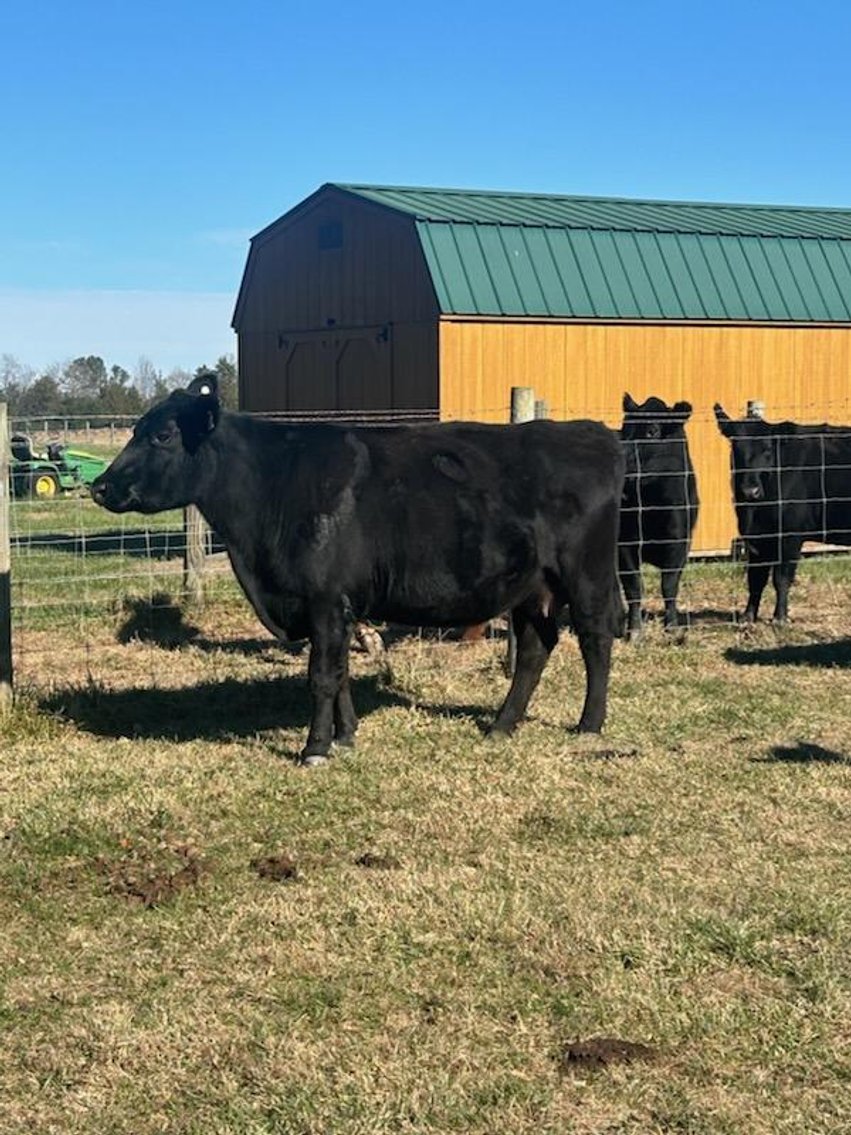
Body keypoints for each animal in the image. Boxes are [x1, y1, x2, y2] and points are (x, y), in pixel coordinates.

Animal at [91, 376, 625, 765]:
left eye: (162, 435)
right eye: (135, 430)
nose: (100, 486)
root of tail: (589, 432)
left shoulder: (326, 599)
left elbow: (322, 676)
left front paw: (315, 748)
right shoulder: (332, 605)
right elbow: (341, 671)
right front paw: (345, 735)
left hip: (587, 573)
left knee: (595, 639)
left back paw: (589, 724)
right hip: (532, 586)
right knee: (536, 648)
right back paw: (501, 725)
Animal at [618, 394, 699, 638]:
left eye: (652, 431)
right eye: (624, 428)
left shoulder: (678, 543)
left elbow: (669, 585)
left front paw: (672, 625)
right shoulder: (626, 544)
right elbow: (634, 586)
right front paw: (634, 630)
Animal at [714, 404, 851, 622]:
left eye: (767, 450)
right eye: (735, 447)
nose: (750, 491)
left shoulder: (790, 535)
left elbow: (781, 579)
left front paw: (780, 617)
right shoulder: (757, 537)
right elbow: (756, 579)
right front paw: (748, 616)